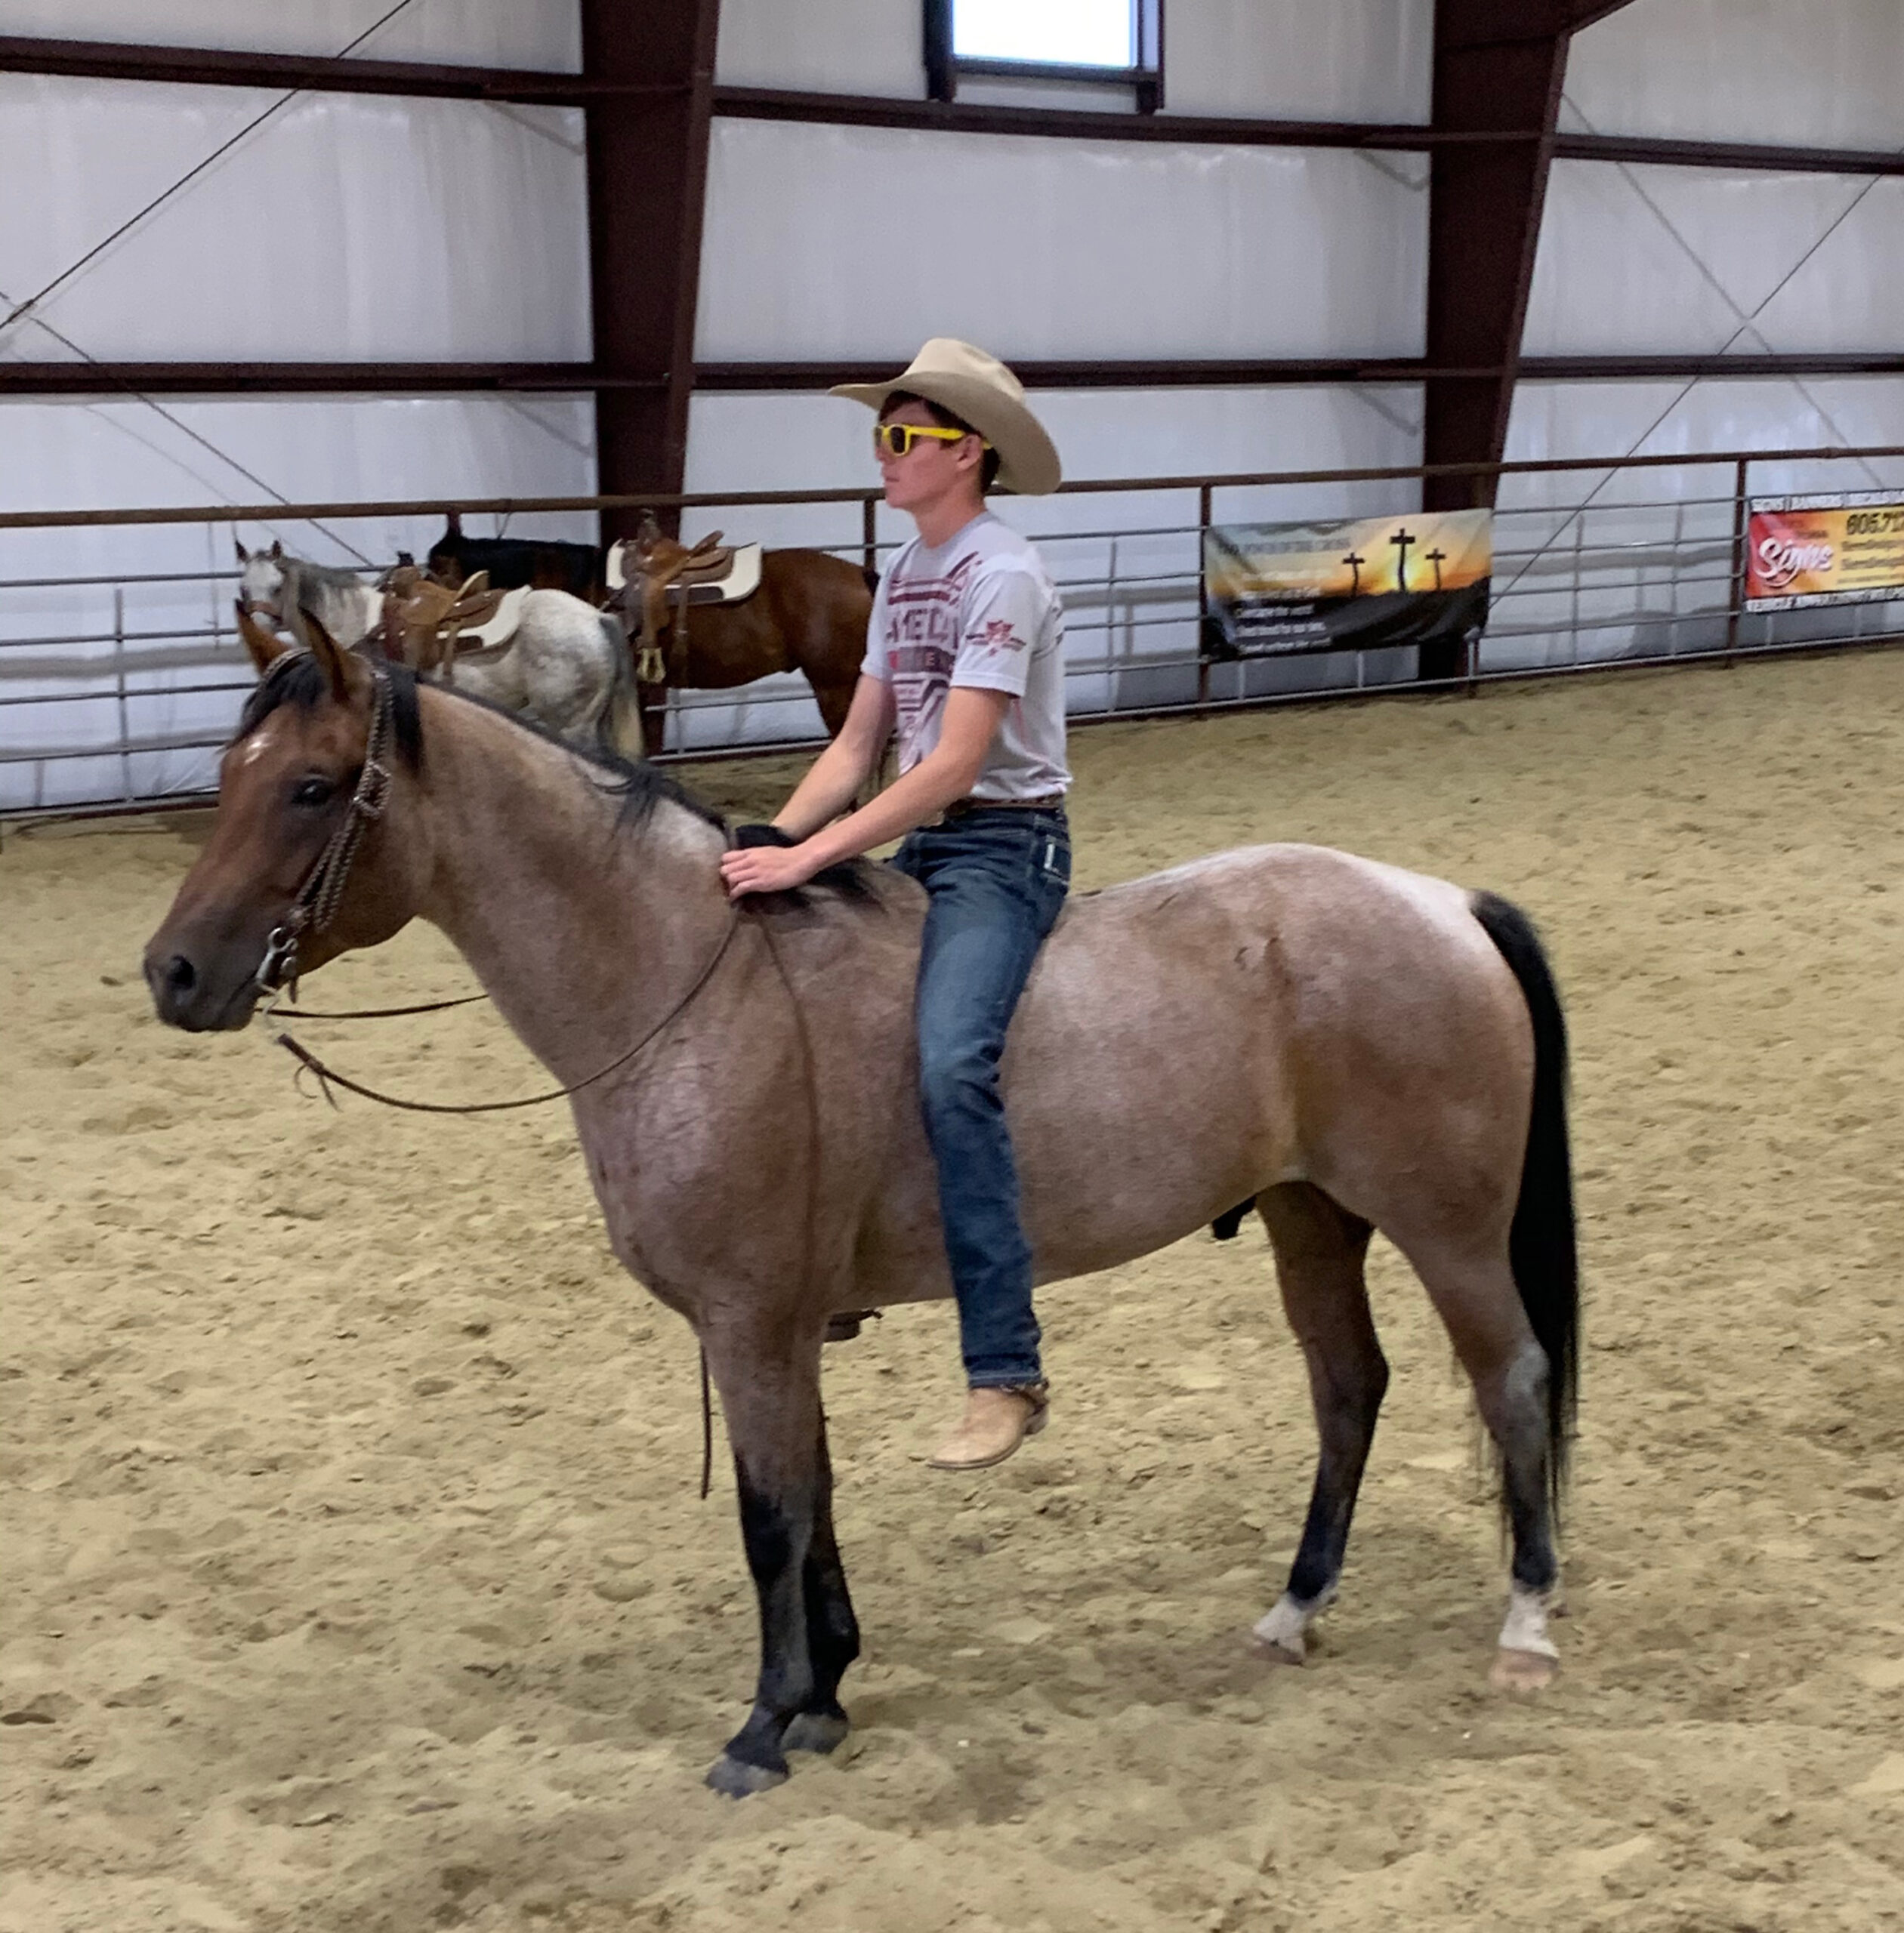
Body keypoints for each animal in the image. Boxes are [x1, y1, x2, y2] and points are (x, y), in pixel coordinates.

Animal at [144, 610, 1580, 1801]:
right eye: (231, 774)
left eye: (311, 786)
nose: (174, 973)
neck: (688, 980)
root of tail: (1443, 904)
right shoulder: (780, 1332)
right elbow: (814, 1499)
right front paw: (828, 1693)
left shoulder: (749, 1326)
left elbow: (770, 1519)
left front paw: (767, 1722)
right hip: (1307, 1216)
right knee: (1348, 1388)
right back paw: (1294, 1612)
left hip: (1447, 1231)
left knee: (1510, 1379)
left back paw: (1524, 1624)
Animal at [236, 546, 636, 757]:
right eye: (243, 587)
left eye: (277, 587)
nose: (261, 625)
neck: (358, 622)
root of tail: (597, 618)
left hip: (571, 724)